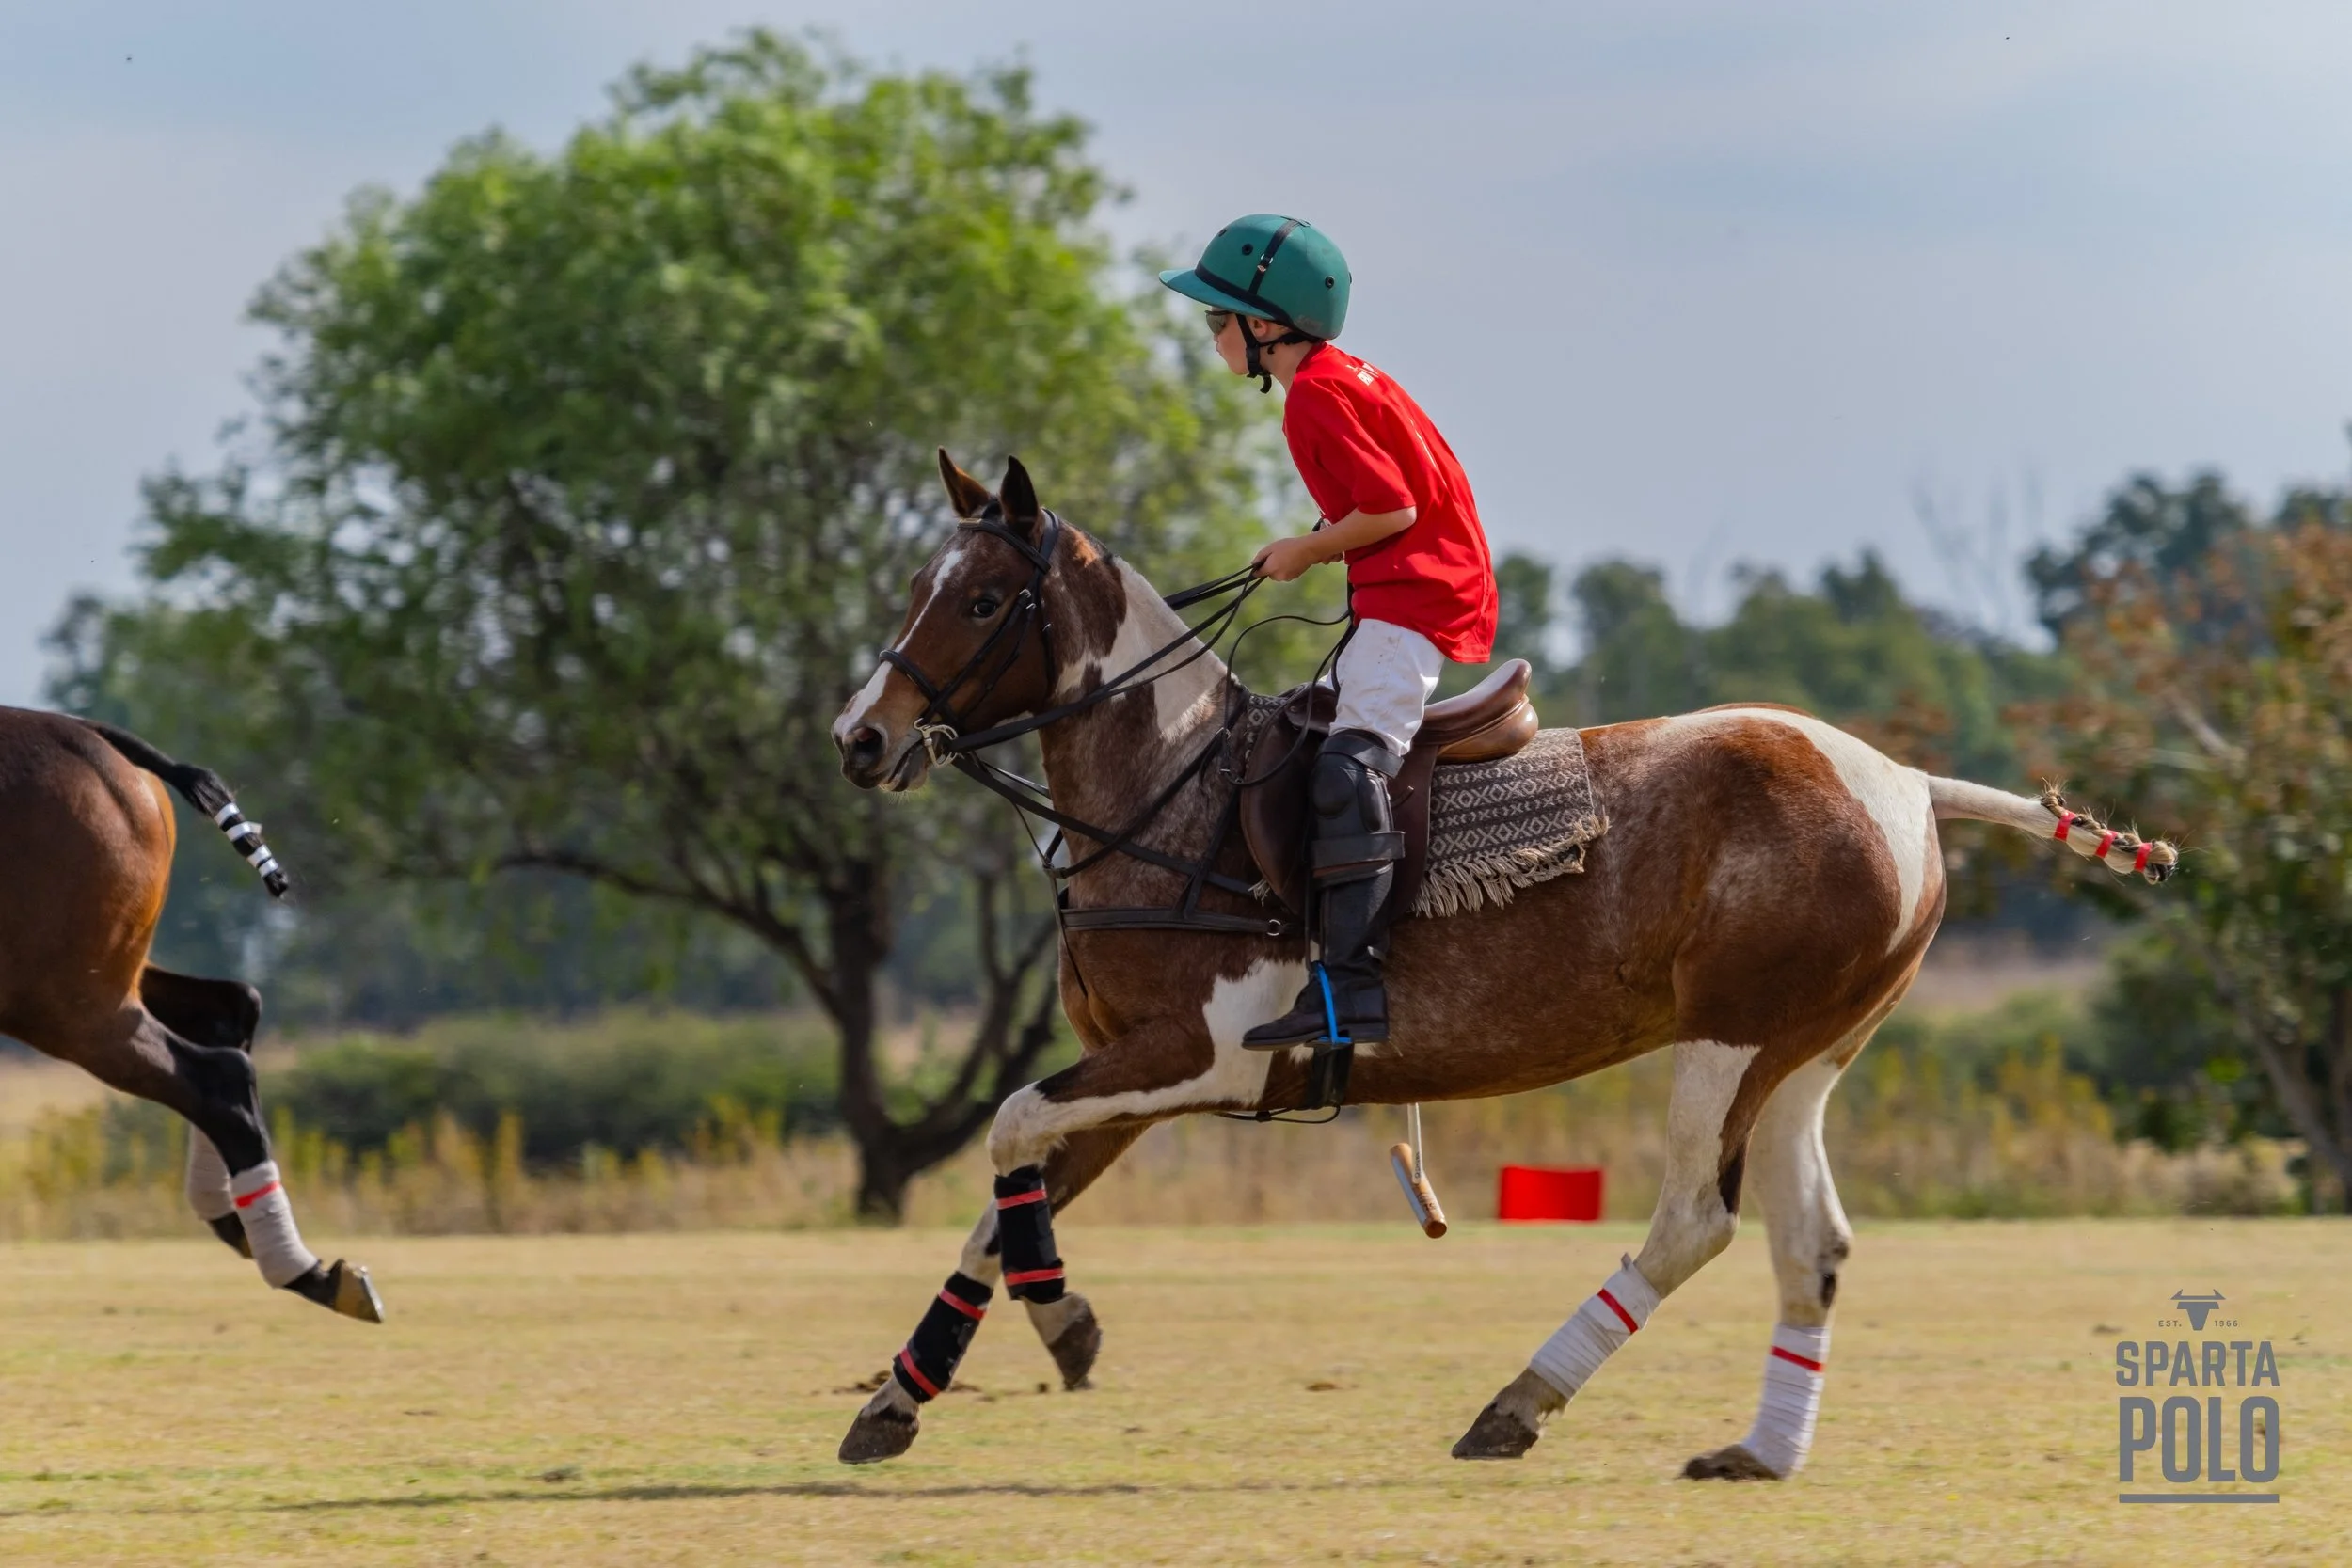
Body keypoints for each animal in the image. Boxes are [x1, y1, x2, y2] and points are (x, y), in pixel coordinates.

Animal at [0, 707, 382, 1321]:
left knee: (218, 1077)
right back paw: (237, 1219)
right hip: (103, 980)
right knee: (232, 1011)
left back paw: (304, 1271)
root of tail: (85, 726)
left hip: (64, 1000)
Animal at [828, 452, 2173, 1475]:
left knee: (1694, 1218)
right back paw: (1758, 1450)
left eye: (984, 599)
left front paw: (1058, 1320)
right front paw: (909, 1392)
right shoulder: (1132, 1070)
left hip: (1730, 1034)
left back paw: (1516, 1401)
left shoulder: (1200, 1055)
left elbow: (1007, 1127)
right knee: (1815, 1243)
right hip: (1806, 1054)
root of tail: (1905, 780)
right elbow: (1012, 1185)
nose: (861, 739)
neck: (1168, 787)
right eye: (922, 585)